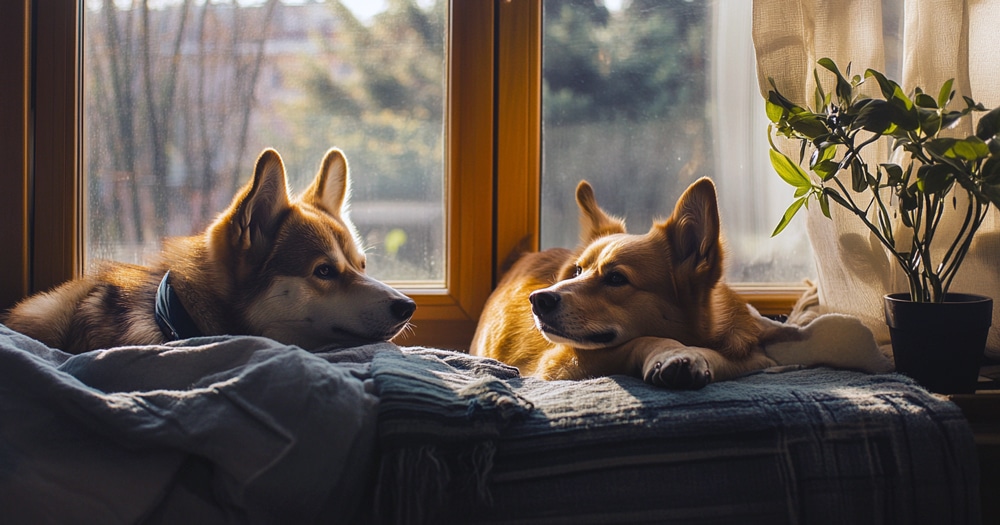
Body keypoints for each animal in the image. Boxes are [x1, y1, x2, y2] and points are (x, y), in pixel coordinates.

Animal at [468, 178, 772, 386]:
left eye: (616, 278)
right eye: (577, 271)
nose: (537, 300)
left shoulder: (751, 356)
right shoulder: (560, 362)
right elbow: (639, 341)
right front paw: (674, 353)